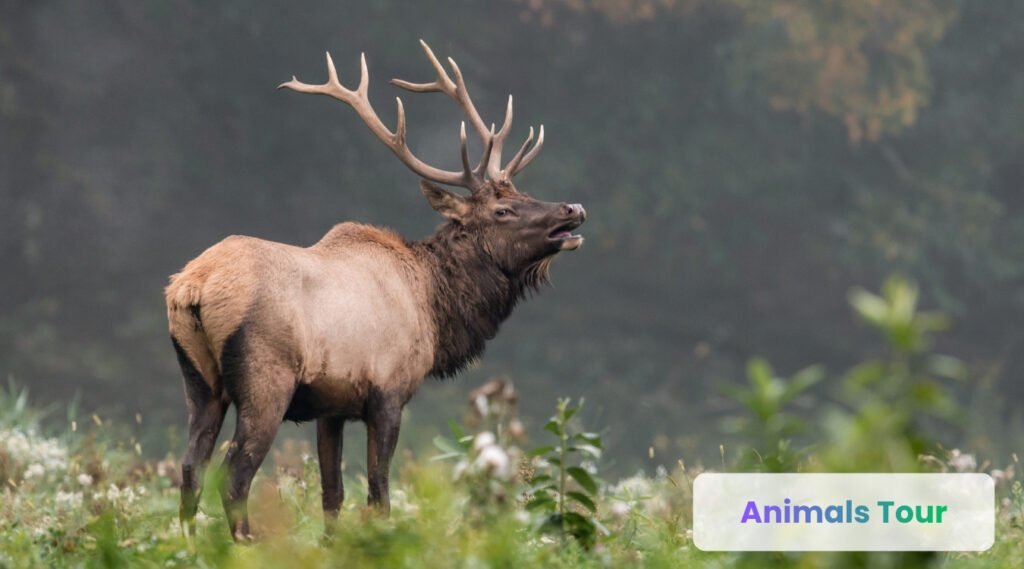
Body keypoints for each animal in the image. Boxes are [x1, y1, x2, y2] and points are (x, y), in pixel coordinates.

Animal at [165, 40, 586, 541]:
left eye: (522, 193)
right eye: (502, 210)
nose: (573, 208)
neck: (434, 306)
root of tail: (192, 287)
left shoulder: (330, 406)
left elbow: (332, 496)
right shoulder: (388, 391)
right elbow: (378, 494)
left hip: (200, 381)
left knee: (190, 468)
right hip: (265, 379)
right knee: (233, 475)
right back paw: (247, 544)